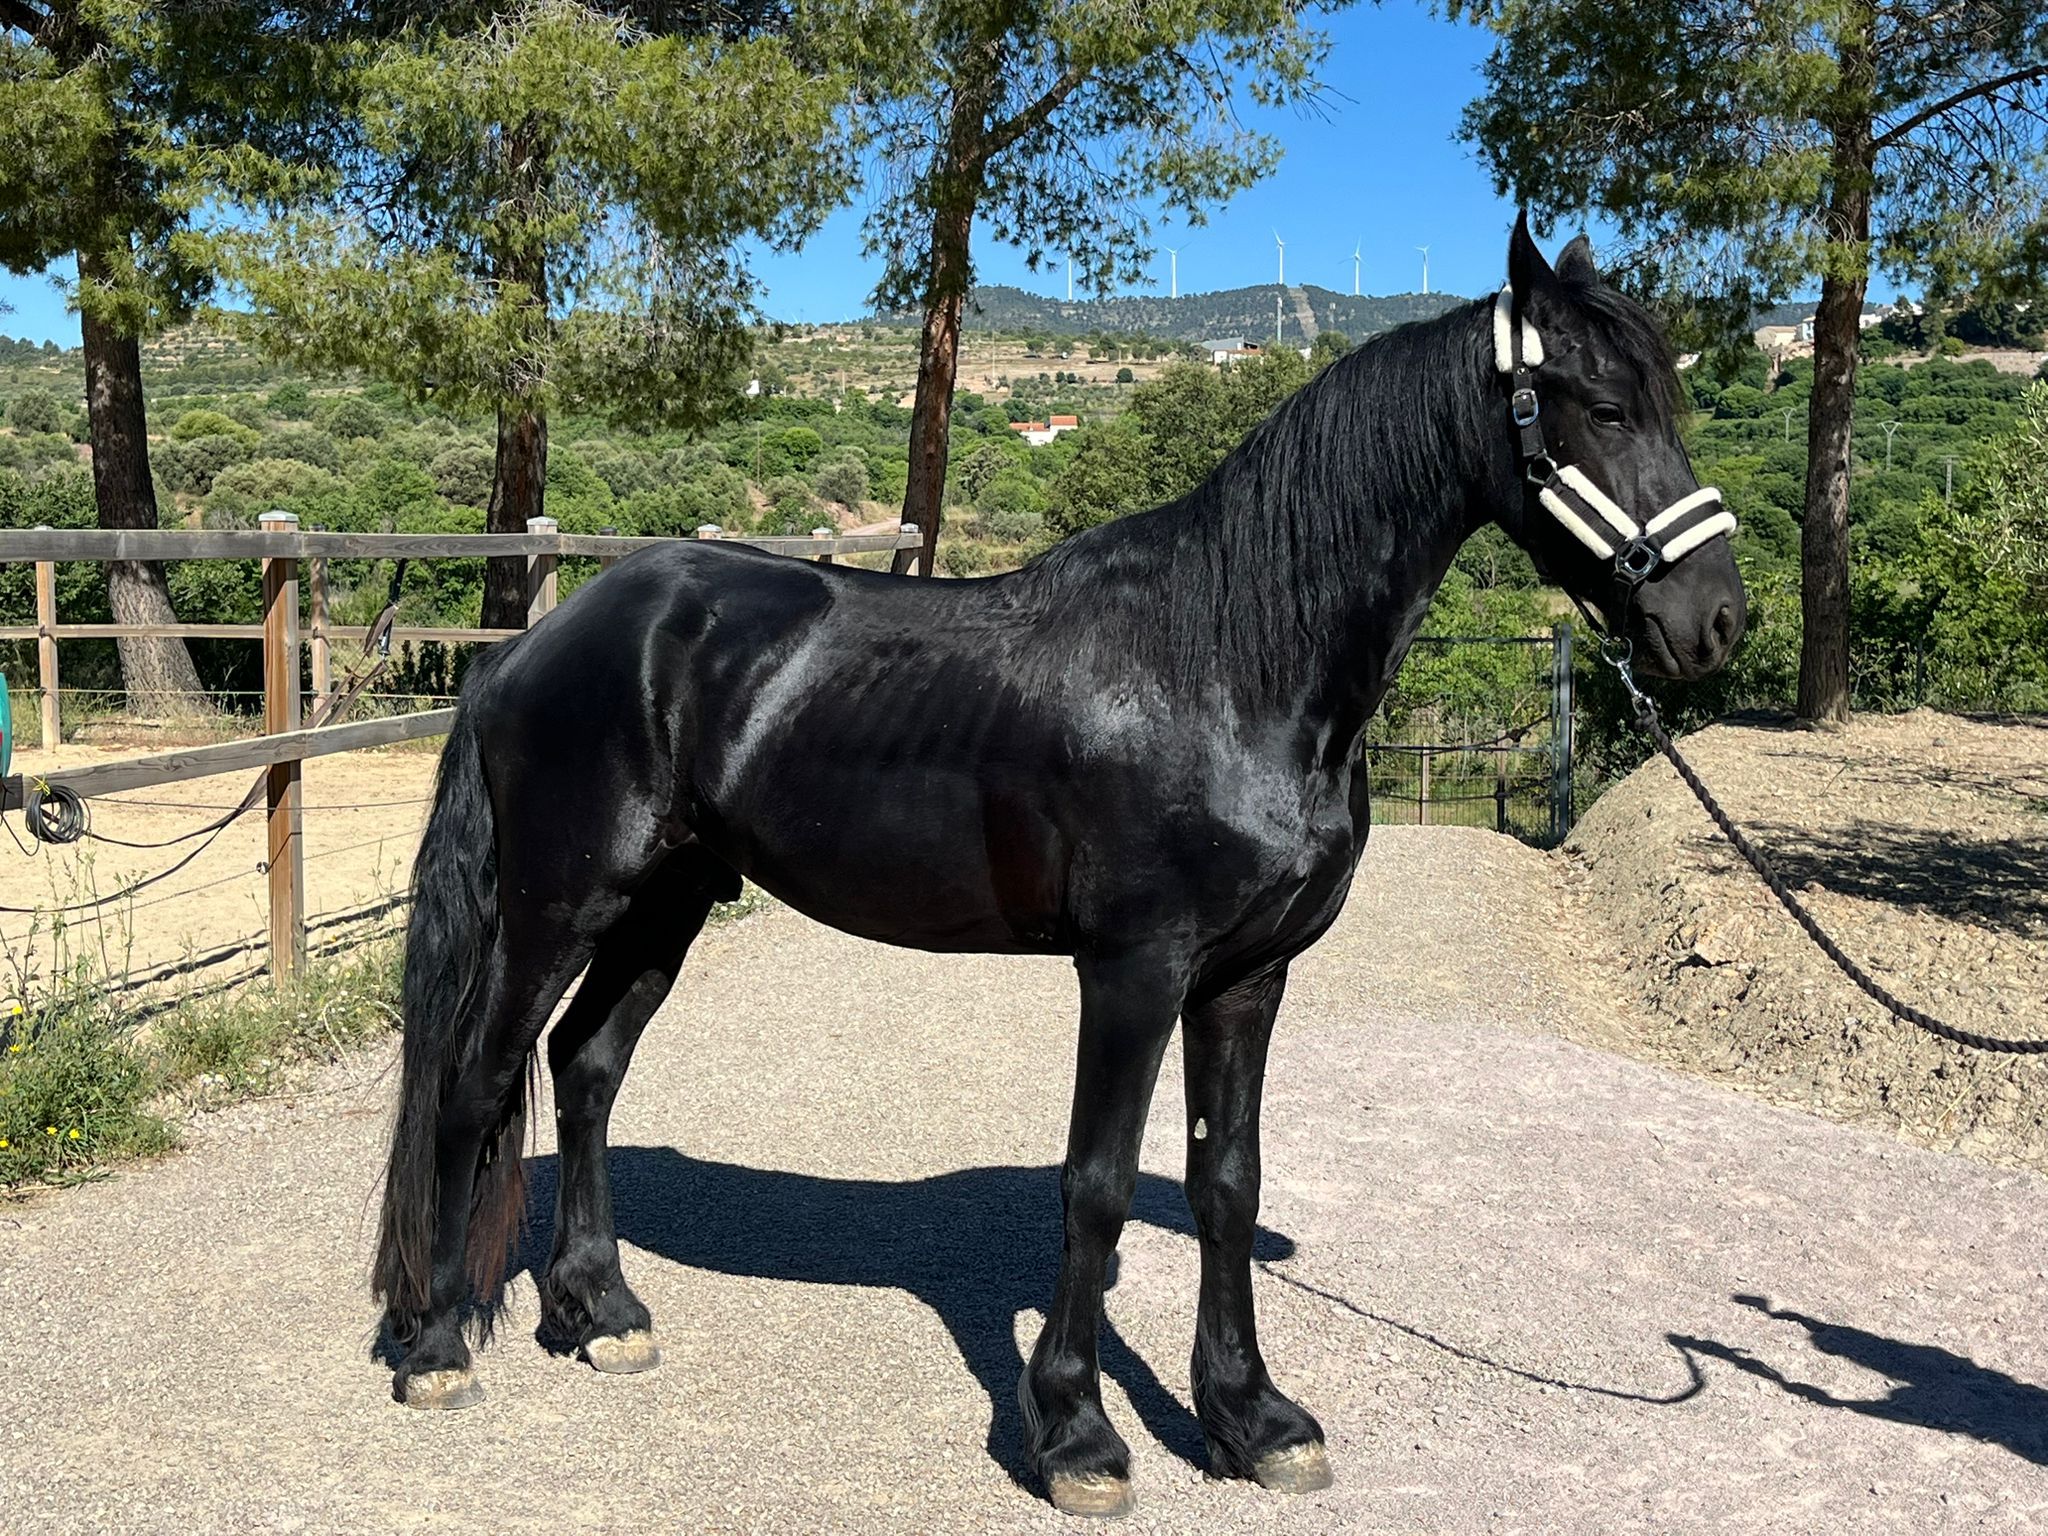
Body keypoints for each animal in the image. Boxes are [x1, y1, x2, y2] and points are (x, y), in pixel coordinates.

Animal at [372, 217, 1746, 1518]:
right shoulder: (1132, 972)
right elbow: (1095, 1186)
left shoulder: (1246, 980)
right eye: (1603, 408)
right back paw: (436, 1344)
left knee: (585, 1067)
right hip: (559, 904)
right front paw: (1077, 1435)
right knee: (477, 1081)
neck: (1229, 659)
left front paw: (1250, 1419)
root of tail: (537, 644)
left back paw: (598, 1312)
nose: (1713, 620)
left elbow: (1222, 1180)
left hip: (664, 902)